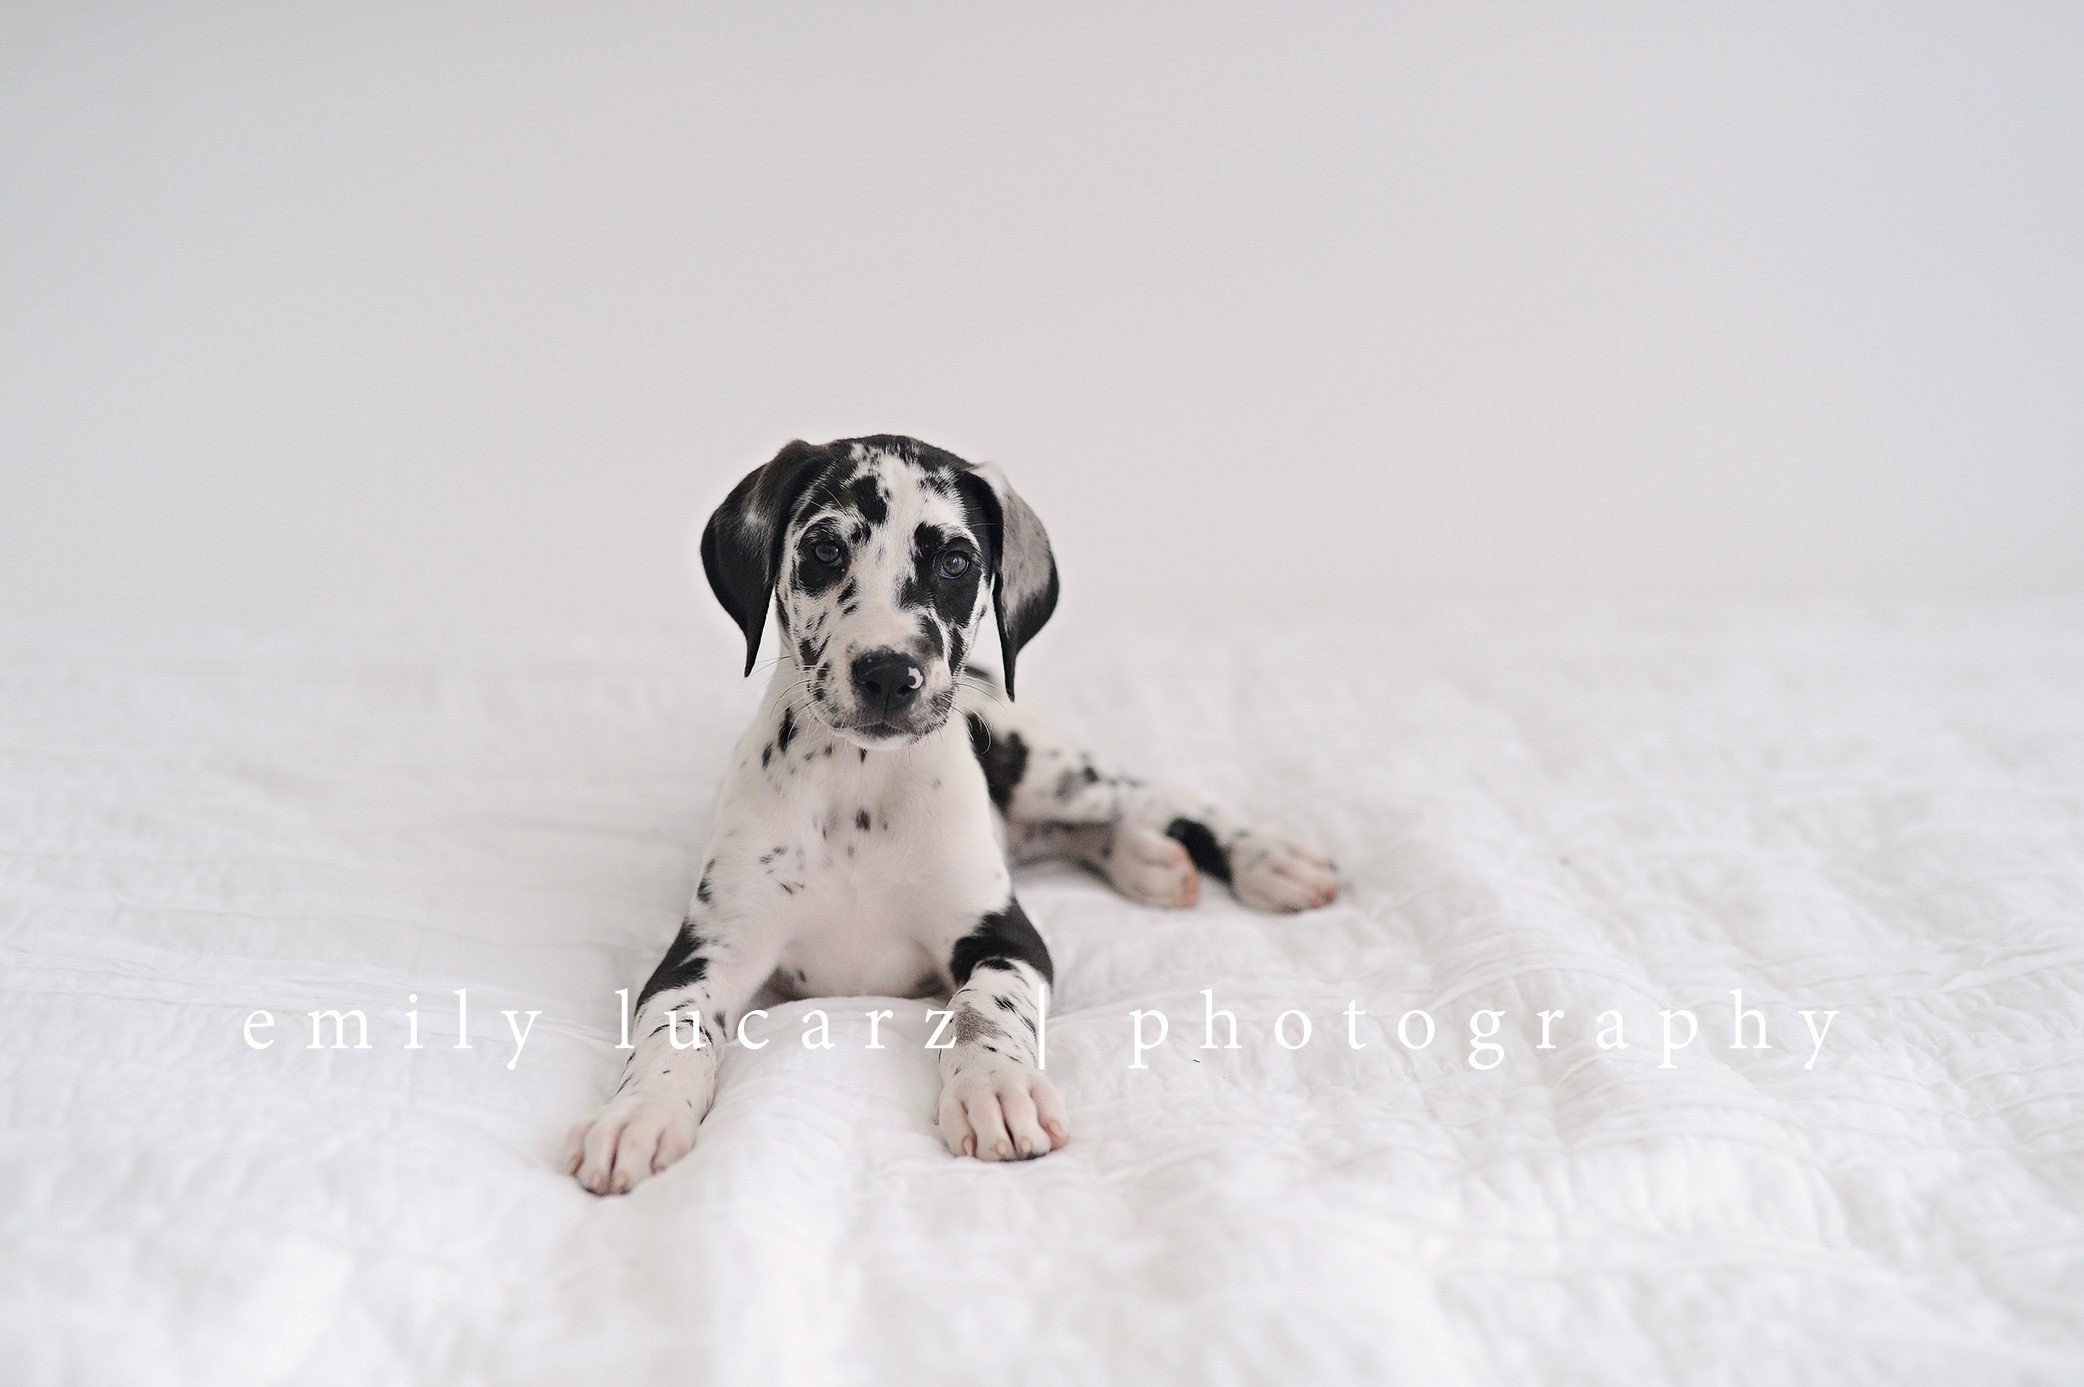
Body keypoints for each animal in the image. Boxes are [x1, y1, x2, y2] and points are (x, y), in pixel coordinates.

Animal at [571, 435, 1342, 1191]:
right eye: (824, 549)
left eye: (956, 562)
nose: (888, 673)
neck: (859, 788)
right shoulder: (708, 951)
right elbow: (671, 1031)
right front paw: (640, 1113)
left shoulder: (1007, 937)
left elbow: (982, 1009)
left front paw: (998, 1087)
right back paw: (1149, 861)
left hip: (1048, 772)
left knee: (1161, 796)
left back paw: (1269, 860)